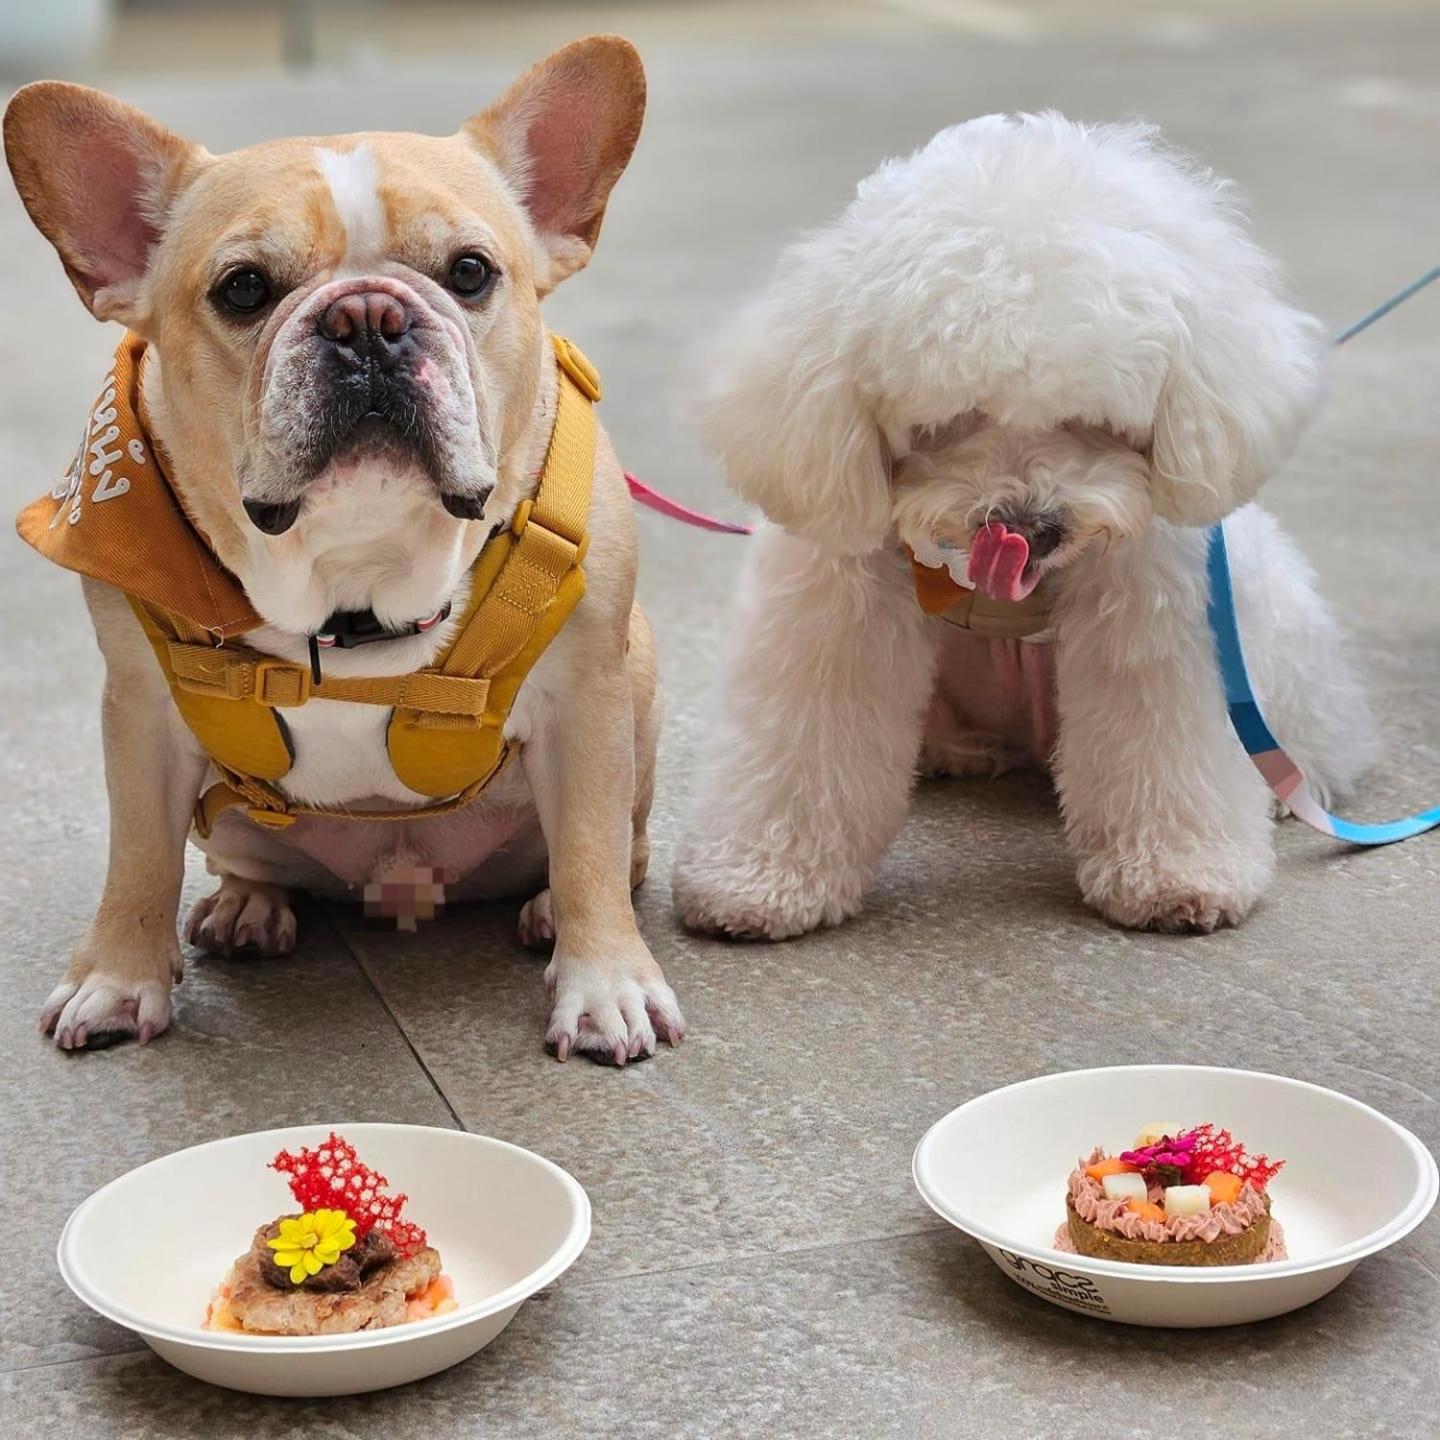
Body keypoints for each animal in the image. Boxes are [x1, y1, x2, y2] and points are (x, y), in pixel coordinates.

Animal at [4, 33, 685, 1065]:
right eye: (244, 289)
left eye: (471, 272)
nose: (368, 319)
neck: (355, 578)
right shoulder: (143, 715)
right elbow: (138, 860)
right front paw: (117, 978)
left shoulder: (588, 701)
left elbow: (593, 852)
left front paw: (605, 980)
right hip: (230, 821)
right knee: (232, 858)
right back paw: (247, 909)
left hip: (636, 689)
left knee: (611, 849)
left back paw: (543, 913)